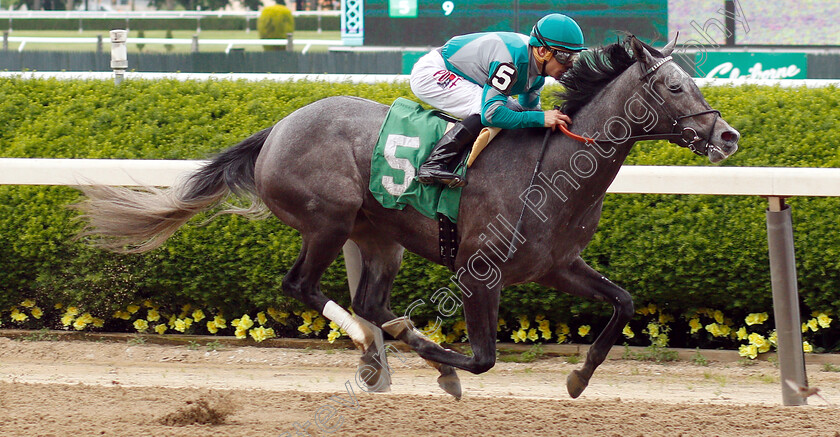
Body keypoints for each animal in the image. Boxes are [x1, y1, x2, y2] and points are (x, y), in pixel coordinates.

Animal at [75, 35, 740, 398]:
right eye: (675, 89)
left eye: (693, 82)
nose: (727, 136)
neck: (552, 166)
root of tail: (278, 129)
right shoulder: (479, 270)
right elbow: (482, 357)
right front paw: (442, 367)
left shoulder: (557, 265)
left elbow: (623, 303)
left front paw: (578, 378)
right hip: (329, 221)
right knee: (303, 286)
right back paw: (376, 341)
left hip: (380, 237)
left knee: (368, 299)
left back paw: (386, 340)